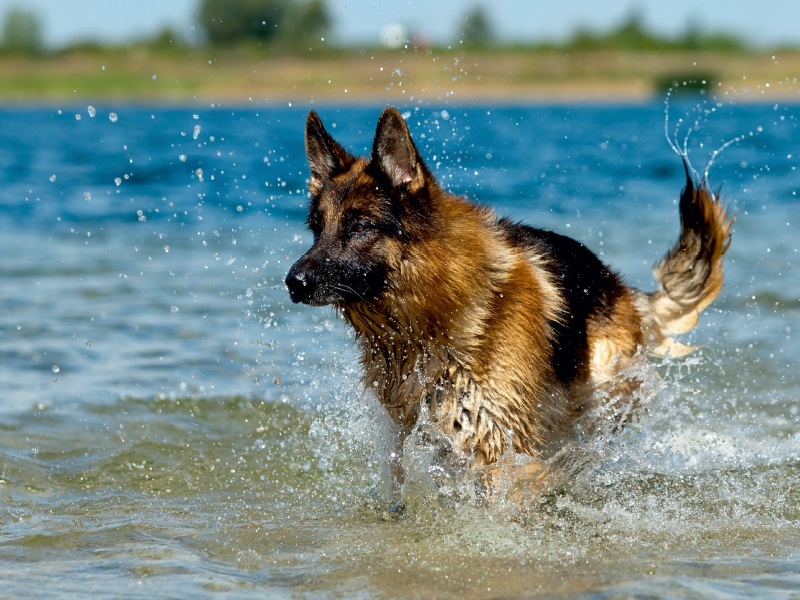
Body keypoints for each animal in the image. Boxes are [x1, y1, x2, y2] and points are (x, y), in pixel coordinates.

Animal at [288, 108, 732, 472]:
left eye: (361, 226)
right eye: (317, 228)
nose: (293, 282)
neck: (431, 319)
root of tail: (616, 283)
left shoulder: (495, 436)